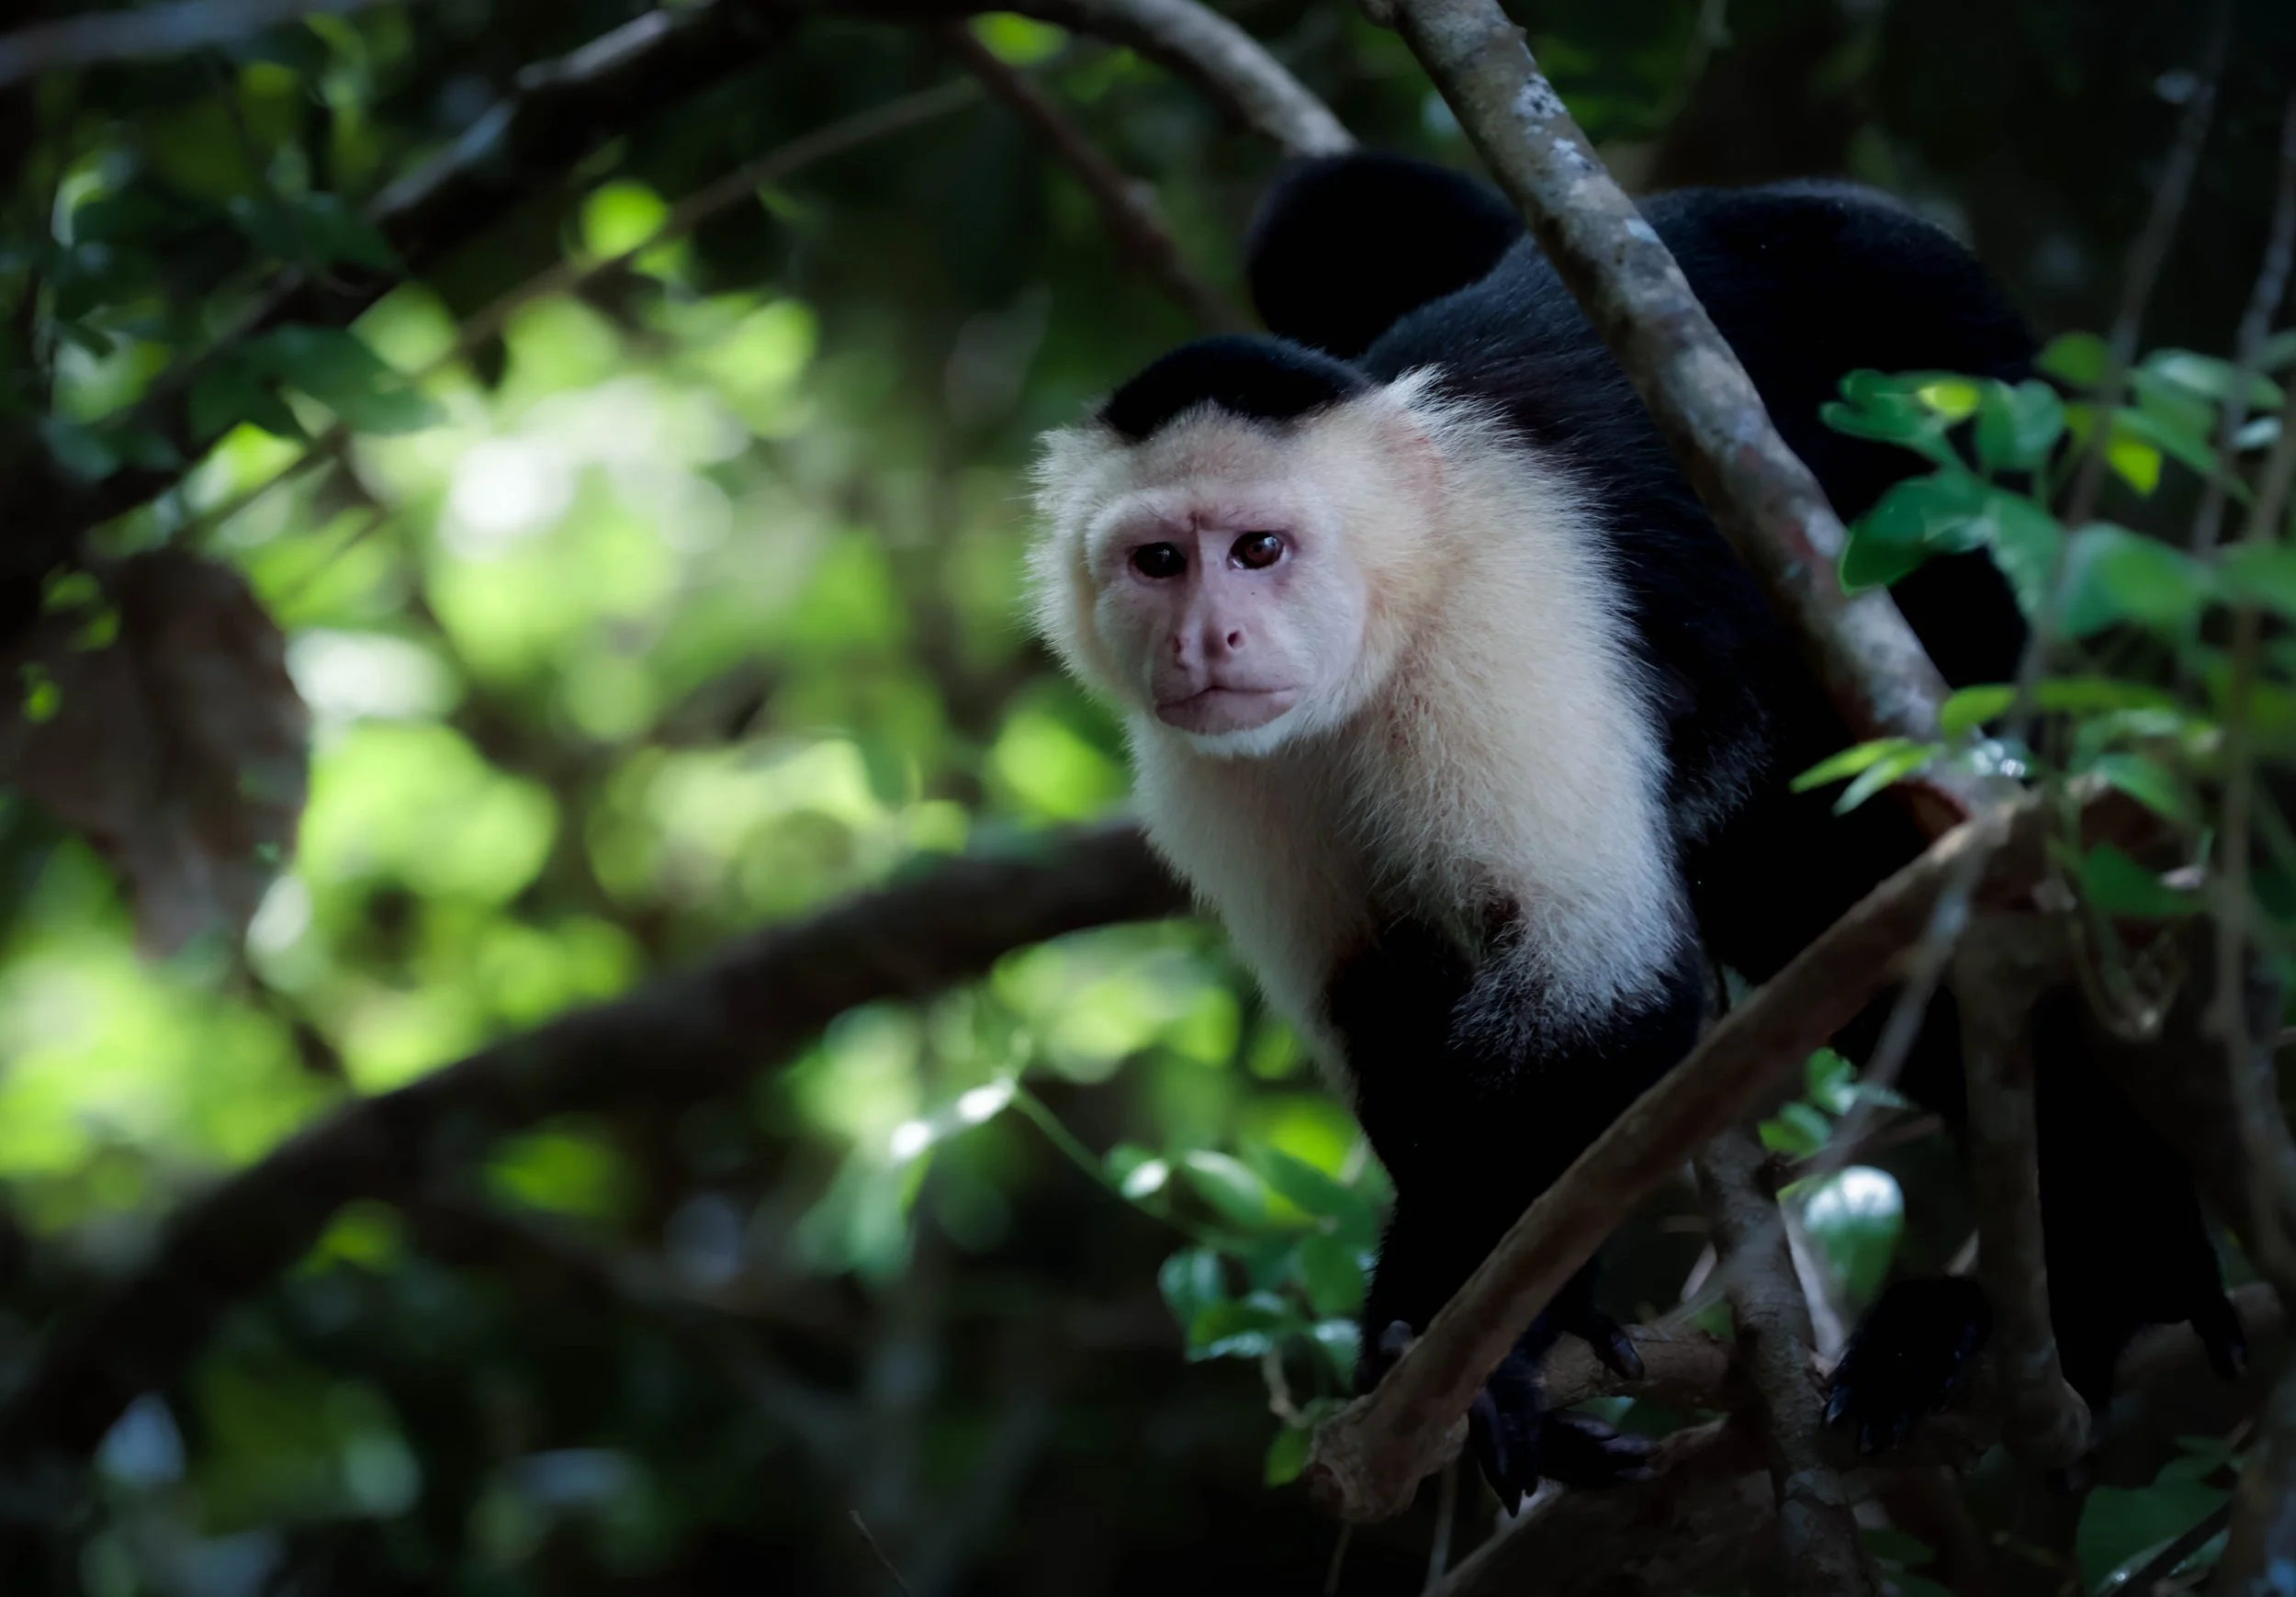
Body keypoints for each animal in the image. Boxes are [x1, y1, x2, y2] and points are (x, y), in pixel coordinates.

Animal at [1026, 151, 2245, 1510]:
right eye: (1156, 562)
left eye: (1258, 549)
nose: (1207, 639)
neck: (1382, 631)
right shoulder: (1212, 764)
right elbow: (1387, 1004)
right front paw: (1497, 1342)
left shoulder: (1499, 619)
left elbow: (1594, 995)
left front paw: (1463, 1340)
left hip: (1968, 431)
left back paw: (2091, 1289)